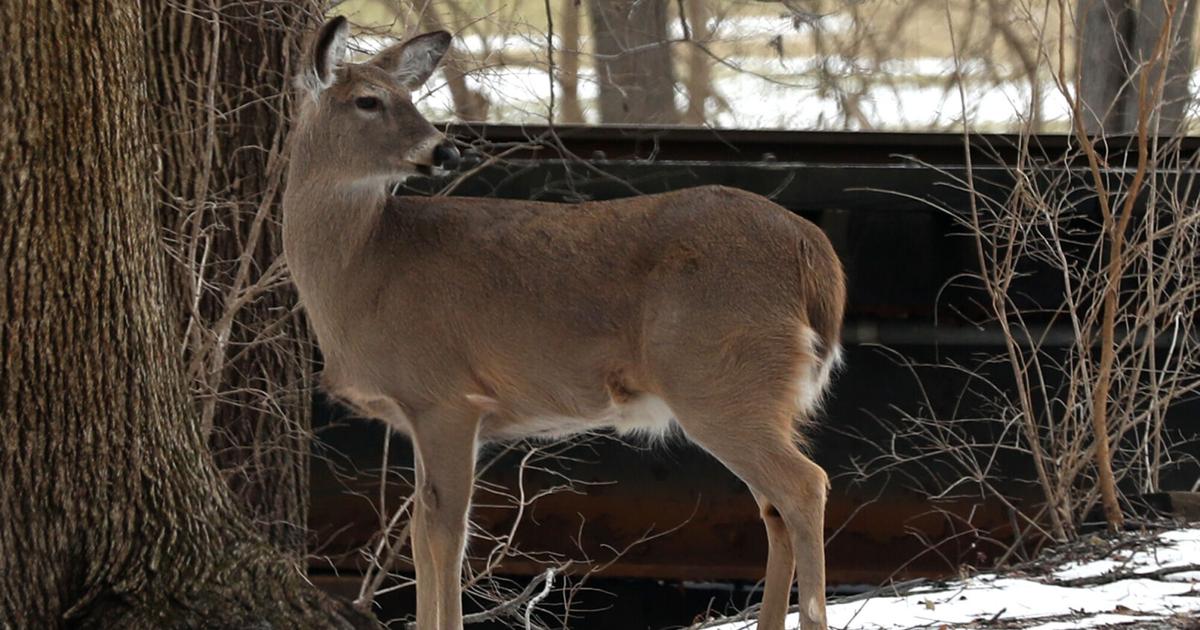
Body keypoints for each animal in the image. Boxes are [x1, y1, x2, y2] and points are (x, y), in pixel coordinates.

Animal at [283, 16, 845, 630]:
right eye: (368, 100)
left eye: (408, 98)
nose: (446, 149)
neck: (365, 270)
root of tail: (815, 253)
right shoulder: (416, 412)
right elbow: (420, 531)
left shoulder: (447, 395)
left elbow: (445, 534)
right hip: (755, 391)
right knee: (771, 505)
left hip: (721, 377)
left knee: (804, 486)